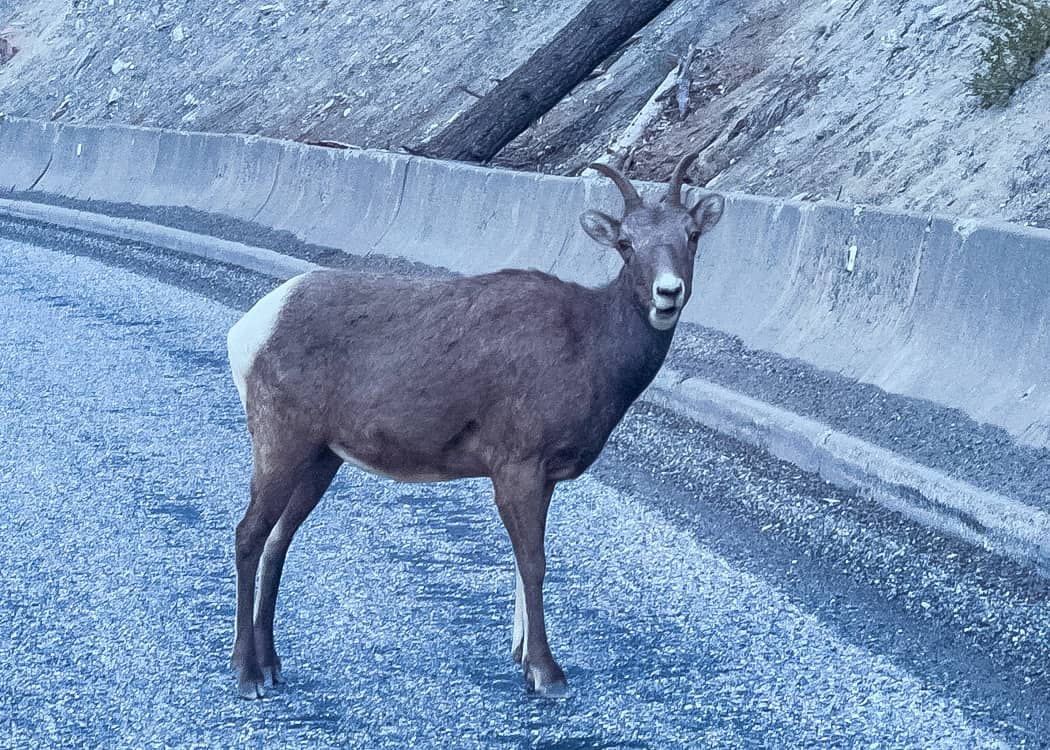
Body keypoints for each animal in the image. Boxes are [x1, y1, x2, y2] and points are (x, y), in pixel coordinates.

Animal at [226, 154, 725, 698]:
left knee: (278, 541)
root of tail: (248, 331)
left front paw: (525, 661)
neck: (590, 348)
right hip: (281, 444)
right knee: (249, 536)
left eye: (692, 235)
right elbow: (533, 564)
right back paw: (247, 674)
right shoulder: (517, 467)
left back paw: (273, 665)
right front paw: (547, 674)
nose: (667, 293)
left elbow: (525, 566)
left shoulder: (543, 478)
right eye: (626, 243)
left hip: (321, 460)